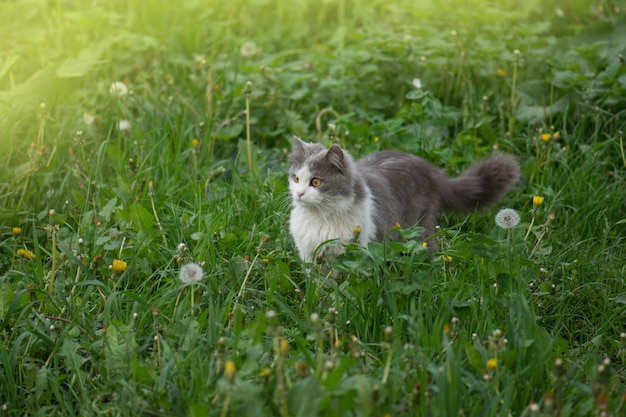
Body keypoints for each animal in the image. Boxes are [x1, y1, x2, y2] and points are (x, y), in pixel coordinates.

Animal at [288, 136, 516, 260]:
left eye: (316, 182)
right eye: (296, 178)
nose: (299, 193)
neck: (322, 218)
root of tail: (431, 170)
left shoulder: (355, 249)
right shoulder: (310, 255)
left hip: (419, 229)